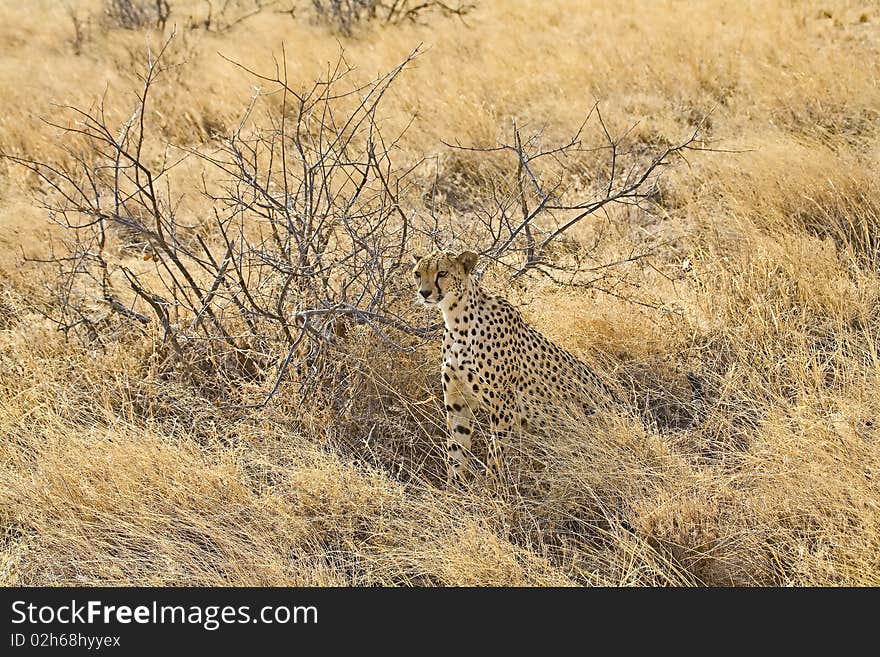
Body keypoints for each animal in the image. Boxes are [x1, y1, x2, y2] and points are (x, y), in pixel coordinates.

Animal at [412, 246, 612, 482]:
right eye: (417, 273)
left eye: (442, 273)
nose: (424, 293)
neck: (457, 319)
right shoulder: (457, 404)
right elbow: (456, 453)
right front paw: (454, 488)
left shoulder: (504, 405)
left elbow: (495, 456)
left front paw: (492, 488)